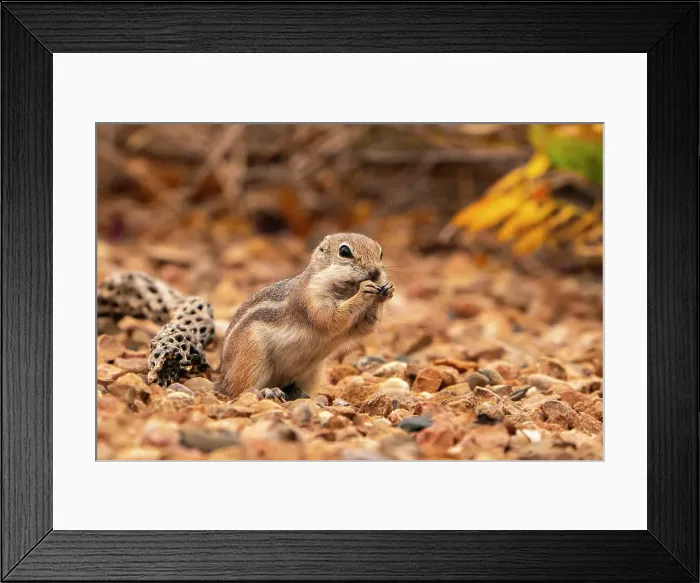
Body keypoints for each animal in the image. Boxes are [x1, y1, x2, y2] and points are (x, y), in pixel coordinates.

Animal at [217, 233, 394, 401]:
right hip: (252, 357)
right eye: (344, 251)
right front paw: (363, 292)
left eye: (381, 253)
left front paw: (386, 291)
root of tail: (223, 379)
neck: (346, 290)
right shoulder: (313, 300)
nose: (376, 272)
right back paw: (268, 391)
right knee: (240, 389)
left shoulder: (355, 326)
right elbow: (331, 319)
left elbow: (365, 328)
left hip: (313, 373)